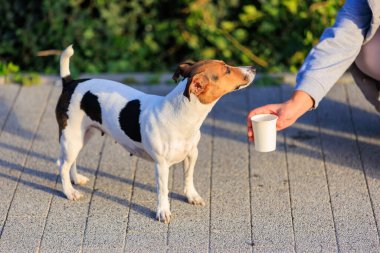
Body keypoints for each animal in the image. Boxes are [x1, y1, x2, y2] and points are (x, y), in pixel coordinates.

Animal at [55, 45, 255, 223]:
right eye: (227, 70)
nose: (253, 67)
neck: (180, 115)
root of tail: (70, 82)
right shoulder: (162, 165)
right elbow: (163, 191)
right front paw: (163, 211)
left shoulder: (192, 154)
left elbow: (188, 178)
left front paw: (191, 196)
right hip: (72, 138)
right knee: (62, 166)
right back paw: (69, 192)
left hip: (83, 135)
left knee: (71, 162)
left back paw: (76, 179)